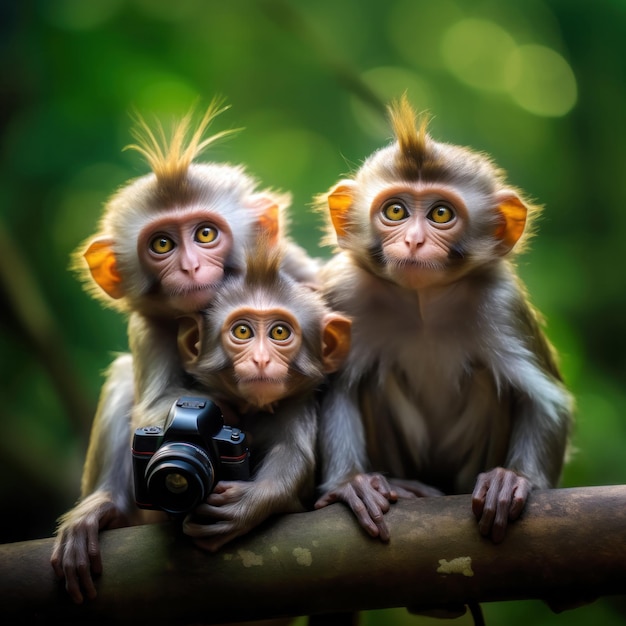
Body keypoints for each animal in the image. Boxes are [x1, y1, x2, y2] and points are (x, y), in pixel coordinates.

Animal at [50, 102, 316, 600]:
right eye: (162, 244)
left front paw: (253, 502)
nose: (191, 267)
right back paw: (103, 509)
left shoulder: (297, 276)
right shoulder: (149, 325)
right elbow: (157, 404)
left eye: (206, 234)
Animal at [176, 239, 352, 552]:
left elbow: (292, 452)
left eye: (279, 332)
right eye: (243, 331)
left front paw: (250, 502)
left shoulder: (296, 403)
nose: (260, 360)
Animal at [314, 95, 572, 544]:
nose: (414, 241)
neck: (423, 303)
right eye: (395, 210)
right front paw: (351, 484)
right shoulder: (346, 295)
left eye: (440, 214)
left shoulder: (502, 304)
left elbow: (546, 401)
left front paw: (514, 479)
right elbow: (338, 389)